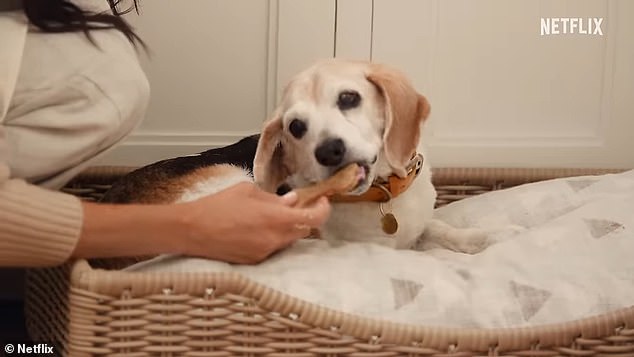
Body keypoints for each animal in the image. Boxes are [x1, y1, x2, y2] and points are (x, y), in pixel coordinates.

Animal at [102, 59, 488, 253]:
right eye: (296, 126)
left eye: (349, 98)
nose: (329, 151)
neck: (383, 195)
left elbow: (434, 227)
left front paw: (474, 239)